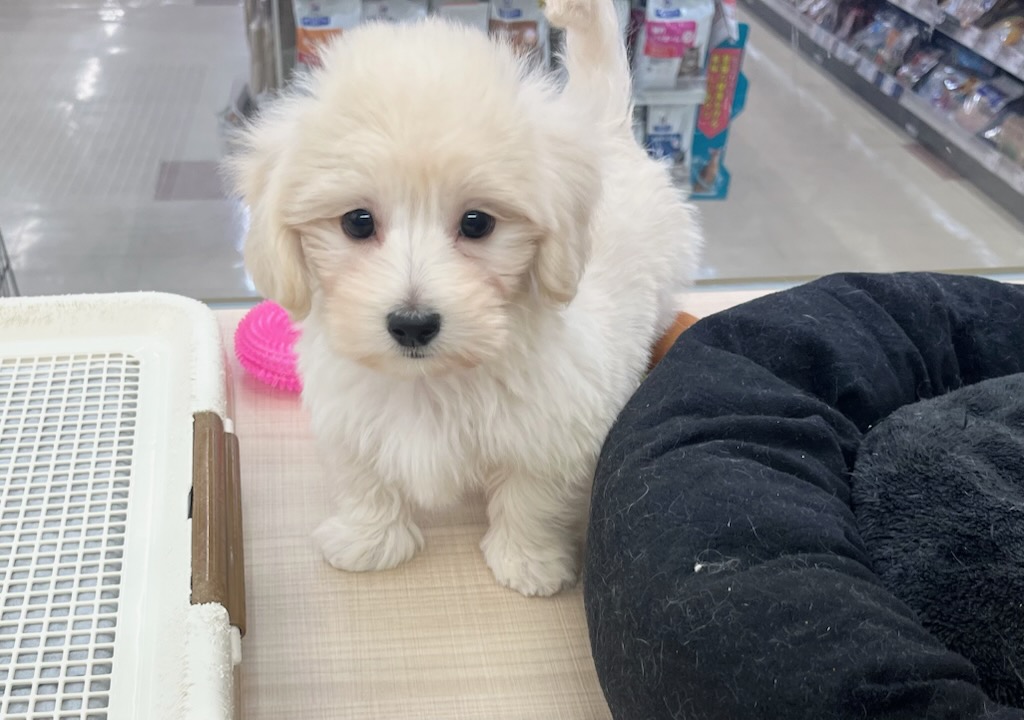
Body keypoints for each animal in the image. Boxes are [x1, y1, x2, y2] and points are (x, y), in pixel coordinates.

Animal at [229, 0, 701, 596]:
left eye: (477, 223)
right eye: (357, 222)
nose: (412, 323)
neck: (431, 380)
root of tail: (606, 129)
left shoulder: (553, 430)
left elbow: (532, 497)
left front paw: (528, 562)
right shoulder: (347, 414)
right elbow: (362, 477)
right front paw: (369, 541)